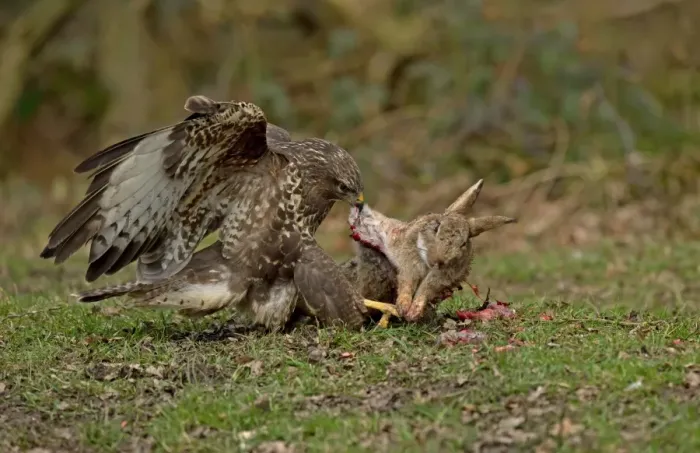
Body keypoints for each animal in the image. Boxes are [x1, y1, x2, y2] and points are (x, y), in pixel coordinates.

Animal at [347, 179, 516, 323]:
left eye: (463, 243)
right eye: (436, 227)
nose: (438, 260)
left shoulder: (443, 276)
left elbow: (427, 289)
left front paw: (414, 312)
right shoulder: (408, 263)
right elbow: (407, 282)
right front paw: (403, 307)